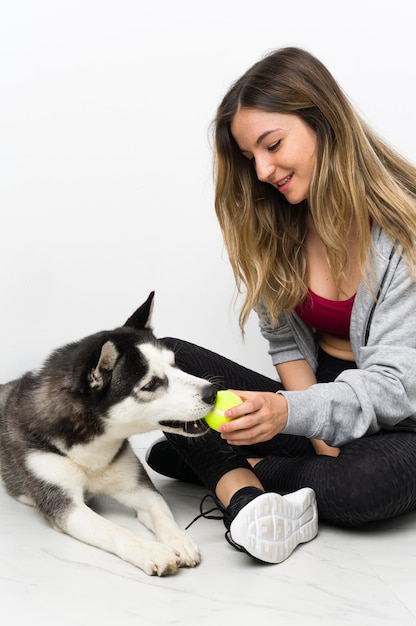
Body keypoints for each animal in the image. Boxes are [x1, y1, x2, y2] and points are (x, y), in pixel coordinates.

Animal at [0, 292, 214, 576]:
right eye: (151, 384)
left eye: (175, 364)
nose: (213, 392)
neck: (92, 448)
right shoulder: (66, 506)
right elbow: (115, 530)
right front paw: (152, 551)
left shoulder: (139, 488)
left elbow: (161, 513)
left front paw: (179, 539)